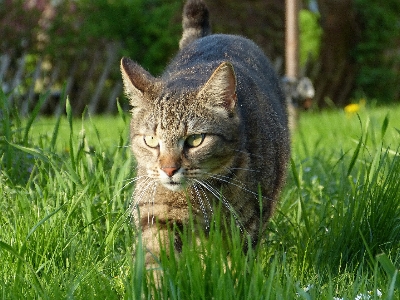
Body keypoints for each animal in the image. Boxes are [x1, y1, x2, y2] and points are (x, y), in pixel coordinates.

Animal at [120, 0, 290, 264]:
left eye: (195, 140)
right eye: (151, 140)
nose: (168, 169)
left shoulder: (246, 225)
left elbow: (232, 266)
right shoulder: (158, 214)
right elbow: (156, 257)